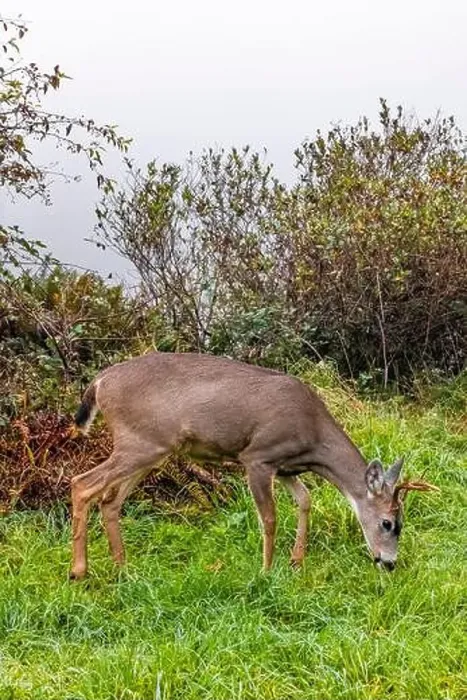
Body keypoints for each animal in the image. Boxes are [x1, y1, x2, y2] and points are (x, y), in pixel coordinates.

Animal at [70, 352, 438, 579]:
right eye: (389, 523)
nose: (389, 563)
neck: (313, 436)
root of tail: (99, 383)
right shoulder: (258, 457)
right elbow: (270, 518)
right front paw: (266, 570)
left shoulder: (287, 467)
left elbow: (306, 500)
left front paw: (296, 561)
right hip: (140, 443)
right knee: (83, 484)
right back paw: (79, 571)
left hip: (151, 448)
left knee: (110, 500)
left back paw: (122, 567)